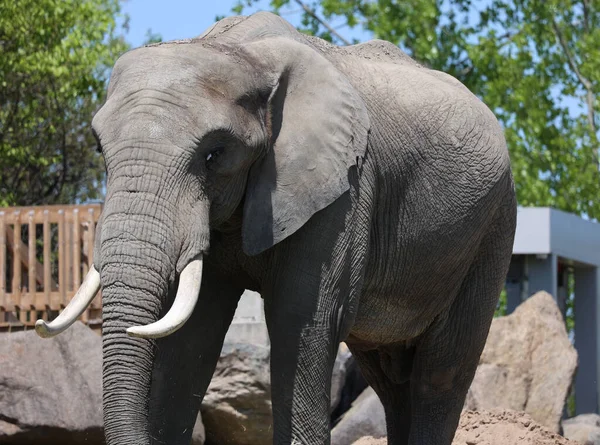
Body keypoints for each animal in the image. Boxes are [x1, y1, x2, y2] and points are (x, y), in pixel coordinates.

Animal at [36, 10, 516, 444]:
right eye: (100, 148)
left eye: (214, 154)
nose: (40, 323)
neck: (239, 52)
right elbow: (195, 330)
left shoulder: (346, 189)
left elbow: (300, 317)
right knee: (391, 381)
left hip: (492, 228)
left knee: (440, 373)